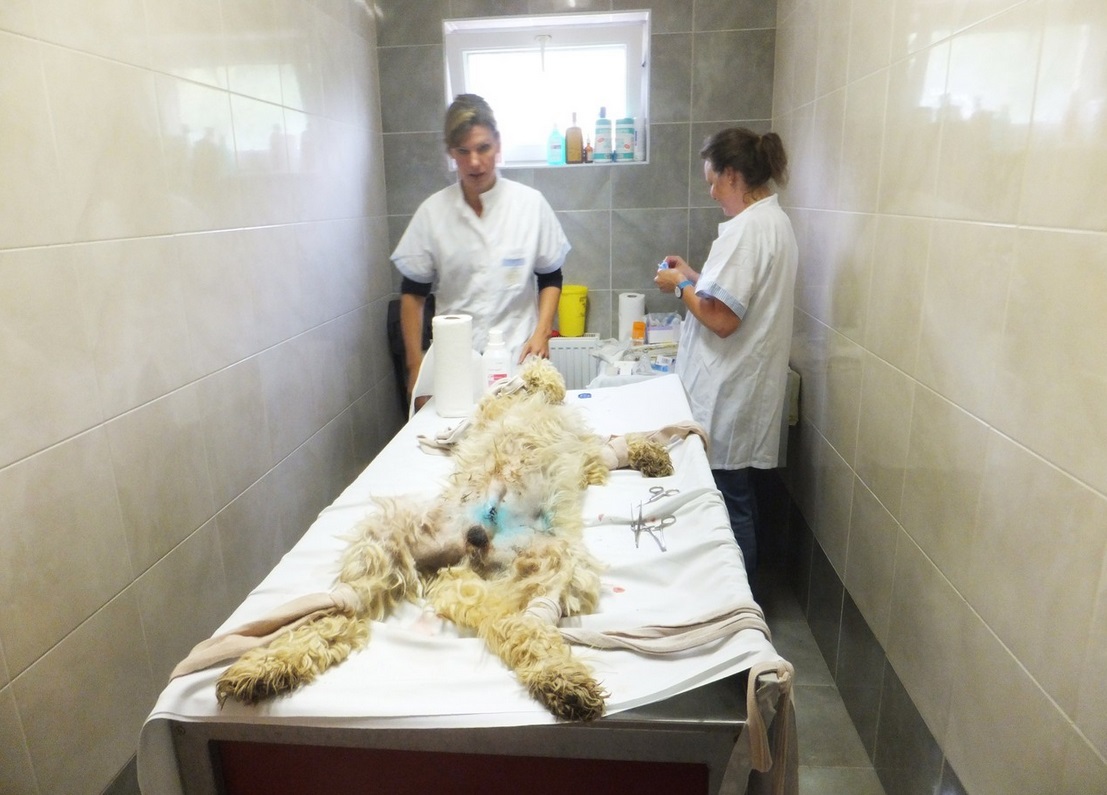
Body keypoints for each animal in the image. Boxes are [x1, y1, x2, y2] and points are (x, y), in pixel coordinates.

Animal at [214, 358, 671, 721]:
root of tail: (468, 548)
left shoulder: (587, 454)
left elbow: (609, 446)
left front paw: (651, 455)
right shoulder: (580, 442)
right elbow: (563, 393)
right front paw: (650, 452)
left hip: (410, 542)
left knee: (352, 615)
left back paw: (265, 670)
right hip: (497, 549)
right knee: (529, 623)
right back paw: (565, 683)